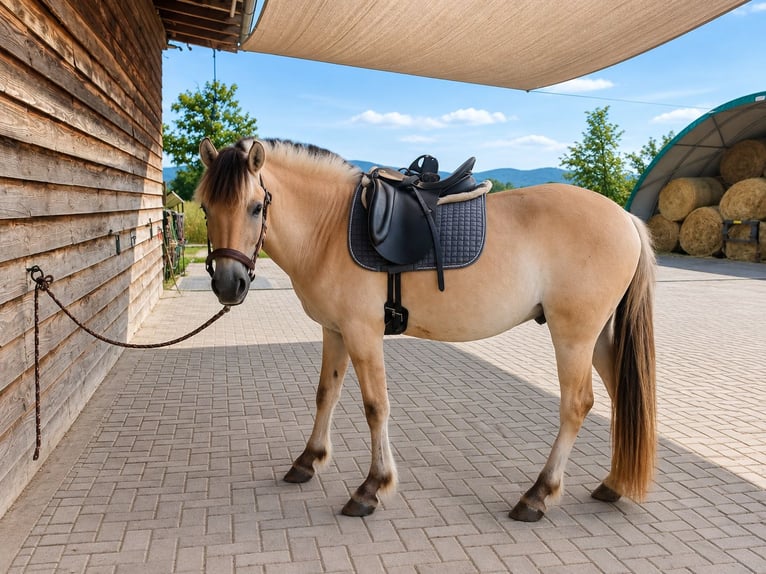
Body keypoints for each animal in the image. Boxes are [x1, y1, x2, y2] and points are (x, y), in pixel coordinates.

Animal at [195, 136, 656, 522]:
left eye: (256, 207)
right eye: (206, 208)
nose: (228, 285)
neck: (329, 228)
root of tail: (625, 218)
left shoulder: (363, 333)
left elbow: (375, 406)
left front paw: (372, 487)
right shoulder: (335, 331)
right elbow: (326, 394)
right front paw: (308, 460)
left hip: (574, 336)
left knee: (577, 404)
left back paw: (538, 496)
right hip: (600, 339)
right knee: (619, 394)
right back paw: (613, 484)